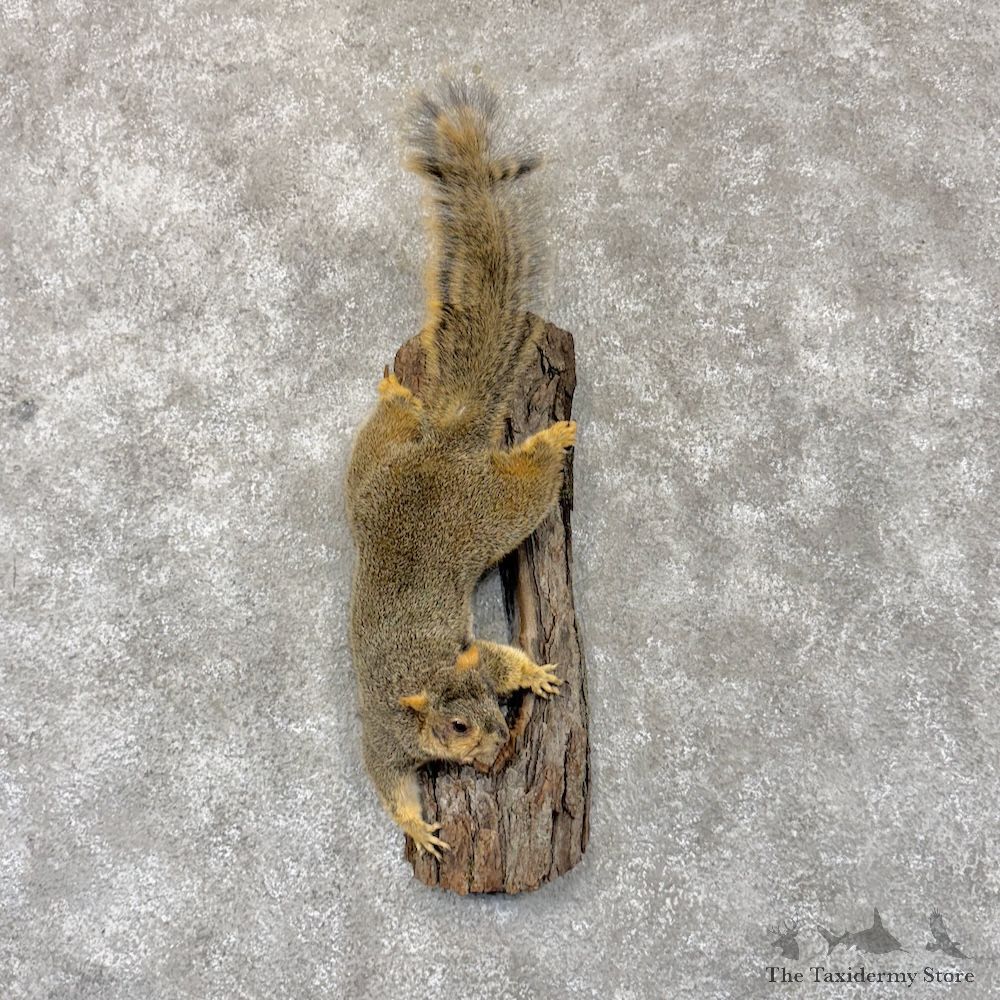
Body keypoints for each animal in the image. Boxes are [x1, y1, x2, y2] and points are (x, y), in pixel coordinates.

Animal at [345, 79, 576, 858]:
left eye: (488, 709)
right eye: (456, 726)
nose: (500, 739)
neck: (423, 679)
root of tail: (442, 450)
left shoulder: (471, 658)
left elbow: (502, 659)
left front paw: (532, 671)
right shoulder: (385, 737)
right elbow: (389, 783)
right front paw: (420, 824)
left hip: (471, 510)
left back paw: (548, 437)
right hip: (386, 492)